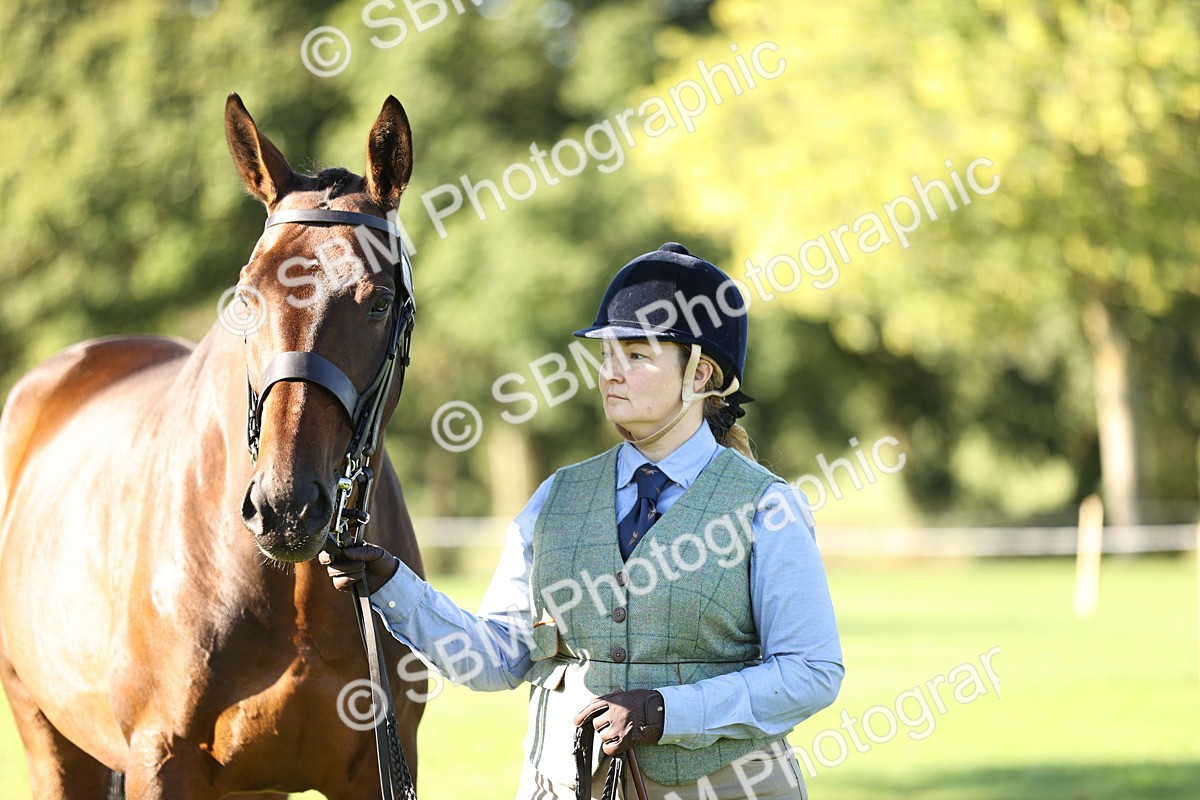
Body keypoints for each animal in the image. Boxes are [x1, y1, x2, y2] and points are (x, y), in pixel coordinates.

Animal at [0, 93, 426, 799]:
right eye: (248, 294)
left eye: (379, 301)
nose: (286, 508)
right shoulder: (160, 758)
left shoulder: (376, 768)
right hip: (48, 738)